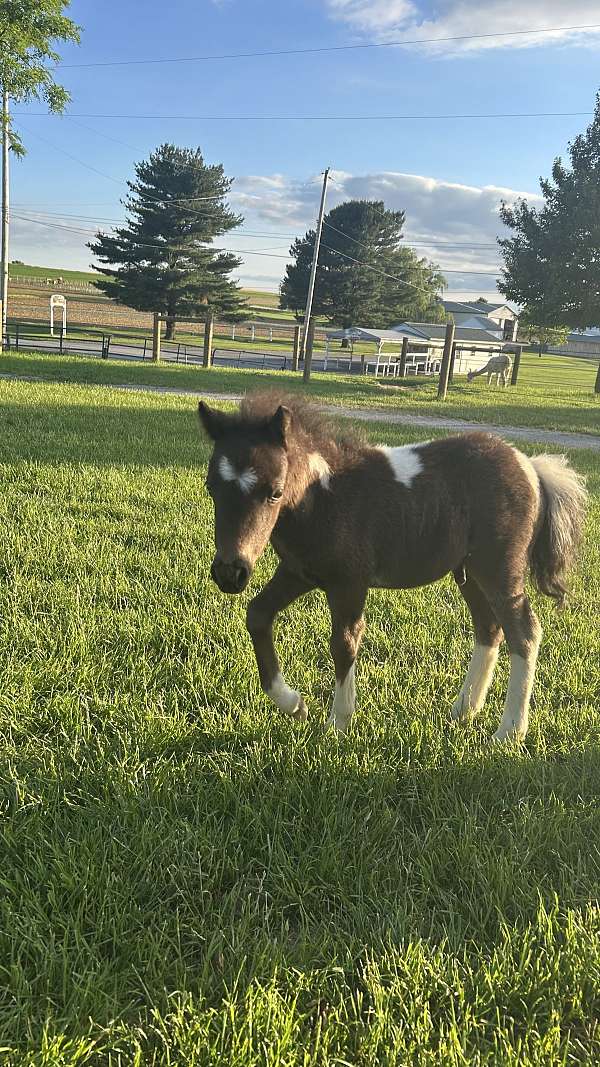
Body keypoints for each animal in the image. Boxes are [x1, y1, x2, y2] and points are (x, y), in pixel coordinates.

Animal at [198, 393, 586, 742]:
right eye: (211, 487)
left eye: (275, 492)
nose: (230, 572)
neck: (323, 498)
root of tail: (530, 465)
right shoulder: (297, 573)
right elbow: (257, 614)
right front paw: (294, 704)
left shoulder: (349, 583)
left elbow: (344, 642)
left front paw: (337, 724)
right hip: (470, 573)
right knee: (489, 628)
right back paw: (463, 710)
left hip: (499, 571)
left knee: (525, 632)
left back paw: (509, 731)